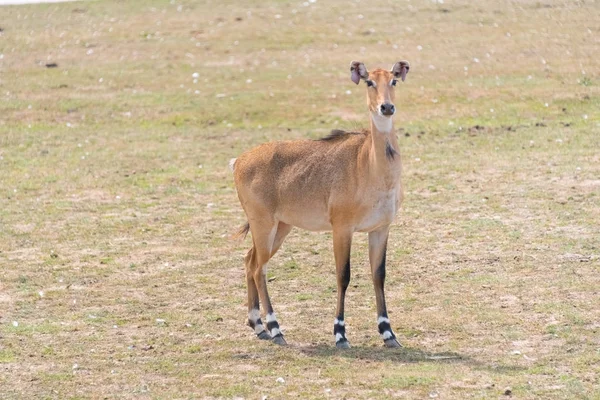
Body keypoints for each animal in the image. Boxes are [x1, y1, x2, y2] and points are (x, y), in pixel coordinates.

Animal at [230, 59, 408, 346]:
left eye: (393, 80)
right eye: (369, 81)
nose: (386, 107)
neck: (370, 166)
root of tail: (239, 161)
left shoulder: (381, 228)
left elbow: (378, 275)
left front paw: (388, 333)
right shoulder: (342, 228)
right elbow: (343, 275)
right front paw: (340, 333)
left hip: (281, 227)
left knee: (250, 260)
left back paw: (258, 326)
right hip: (263, 224)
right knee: (259, 268)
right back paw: (275, 328)